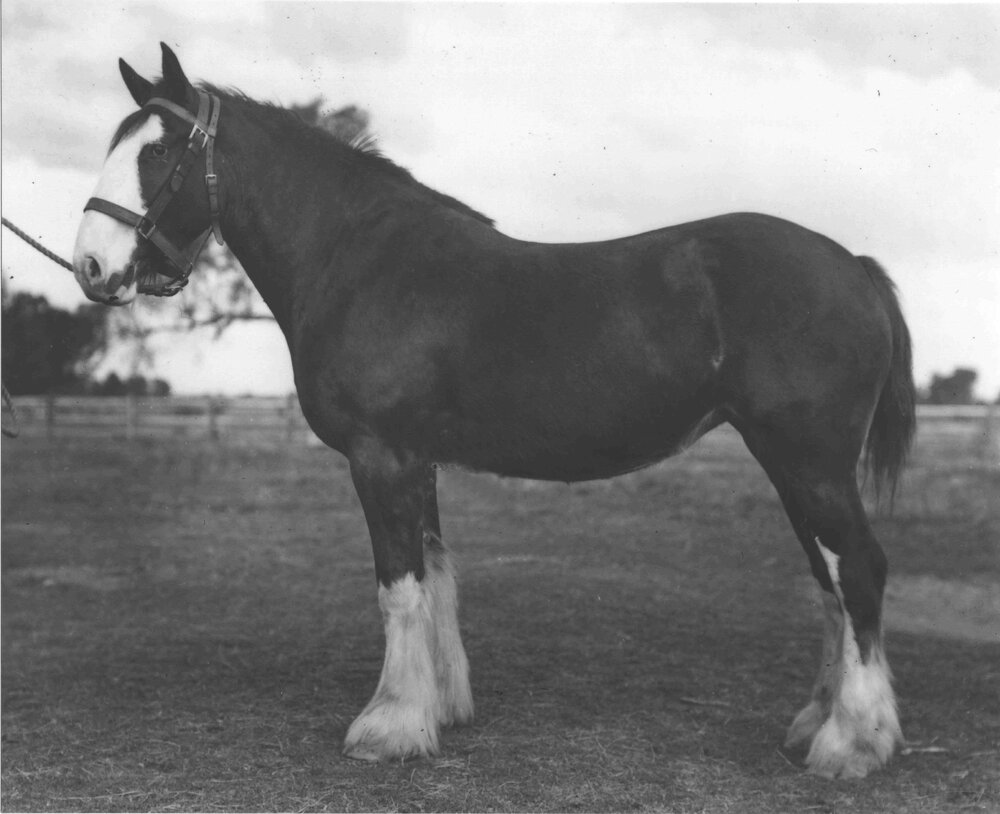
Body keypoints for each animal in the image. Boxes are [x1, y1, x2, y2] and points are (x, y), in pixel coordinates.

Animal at [72, 43, 915, 778]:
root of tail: (853, 265)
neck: (359, 261)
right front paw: (438, 709)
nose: (91, 266)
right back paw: (816, 725)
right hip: (793, 464)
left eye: (157, 153)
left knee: (859, 571)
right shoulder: (417, 462)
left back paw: (850, 745)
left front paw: (388, 728)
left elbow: (399, 587)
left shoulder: (382, 459)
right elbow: (436, 579)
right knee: (831, 583)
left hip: (807, 461)